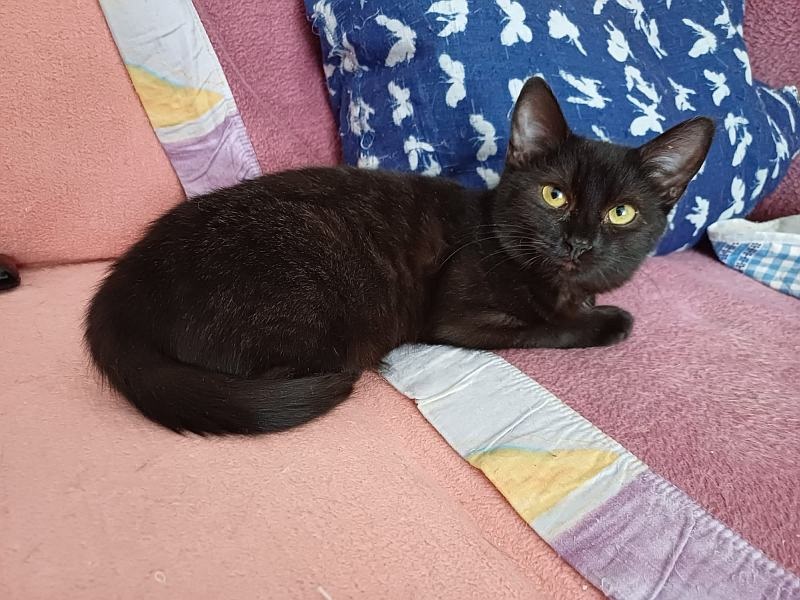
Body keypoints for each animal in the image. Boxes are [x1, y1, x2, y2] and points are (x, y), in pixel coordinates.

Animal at [85, 77, 714, 435]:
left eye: (621, 213)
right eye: (554, 195)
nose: (579, 243)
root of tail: (121, 287)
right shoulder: (461, 318)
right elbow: (546, 327)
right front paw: (607, 321)